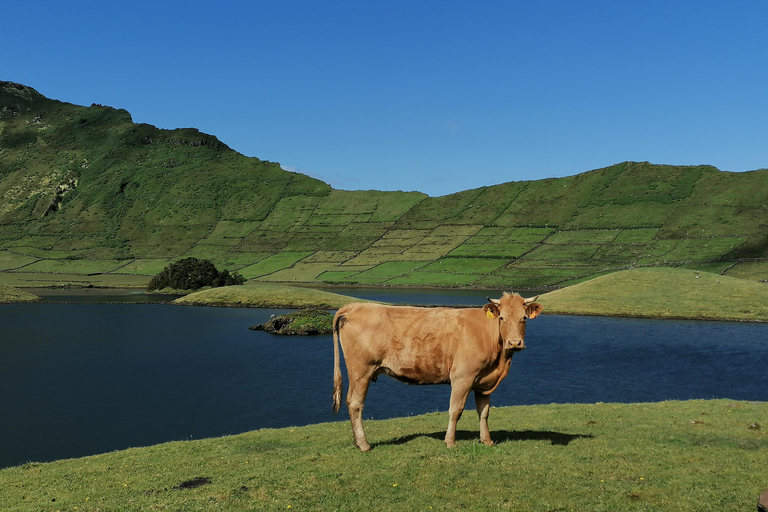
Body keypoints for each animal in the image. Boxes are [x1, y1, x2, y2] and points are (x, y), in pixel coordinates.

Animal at [332, 294, 544, 450]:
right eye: (502, 318)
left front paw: (487, 440)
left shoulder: (483, 382)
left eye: (524, 318)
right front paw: (450, 442)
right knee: (355, 403)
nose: (515, 343)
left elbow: (484, 412)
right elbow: (455, 410)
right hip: (361, 370)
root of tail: (354, 306)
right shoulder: (462, 377)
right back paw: (363, 444)